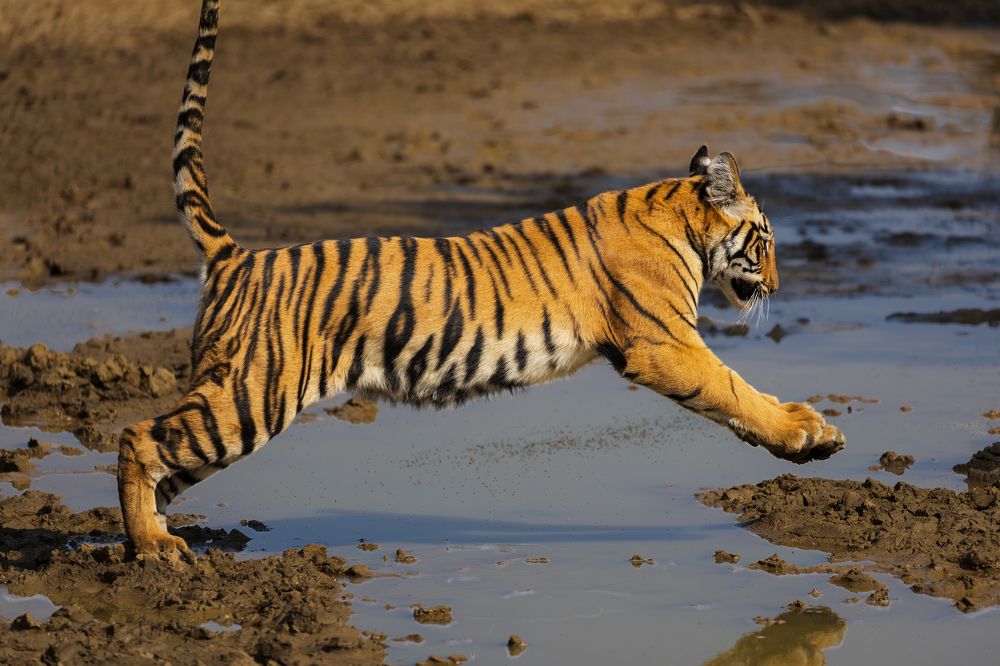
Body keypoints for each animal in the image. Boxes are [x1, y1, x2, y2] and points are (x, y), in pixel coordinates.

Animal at [118, 0, 845, 558]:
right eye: (767, 241)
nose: (778, 286)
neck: (680, 216)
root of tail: (236, 256)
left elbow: (735, 397)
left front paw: (810, 437)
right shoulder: (663, 344)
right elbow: (733, 389)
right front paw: (808, 433)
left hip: (230, 399)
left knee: (165, 463)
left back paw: (154, 542)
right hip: (251, 394)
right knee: (137, 437)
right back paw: (153, 551)